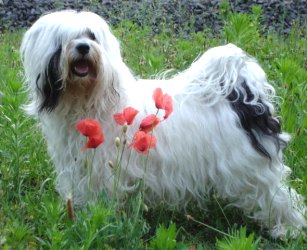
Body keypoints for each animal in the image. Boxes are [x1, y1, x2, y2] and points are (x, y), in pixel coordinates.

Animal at [20, 10, 306, 238]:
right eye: (63, 39)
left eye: (91, 36)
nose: (82, 47)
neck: (89, 99)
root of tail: (240, 92)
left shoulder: (105, 171)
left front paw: (100, 221)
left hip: (249, 168)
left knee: (279, 196)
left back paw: (288, 229)